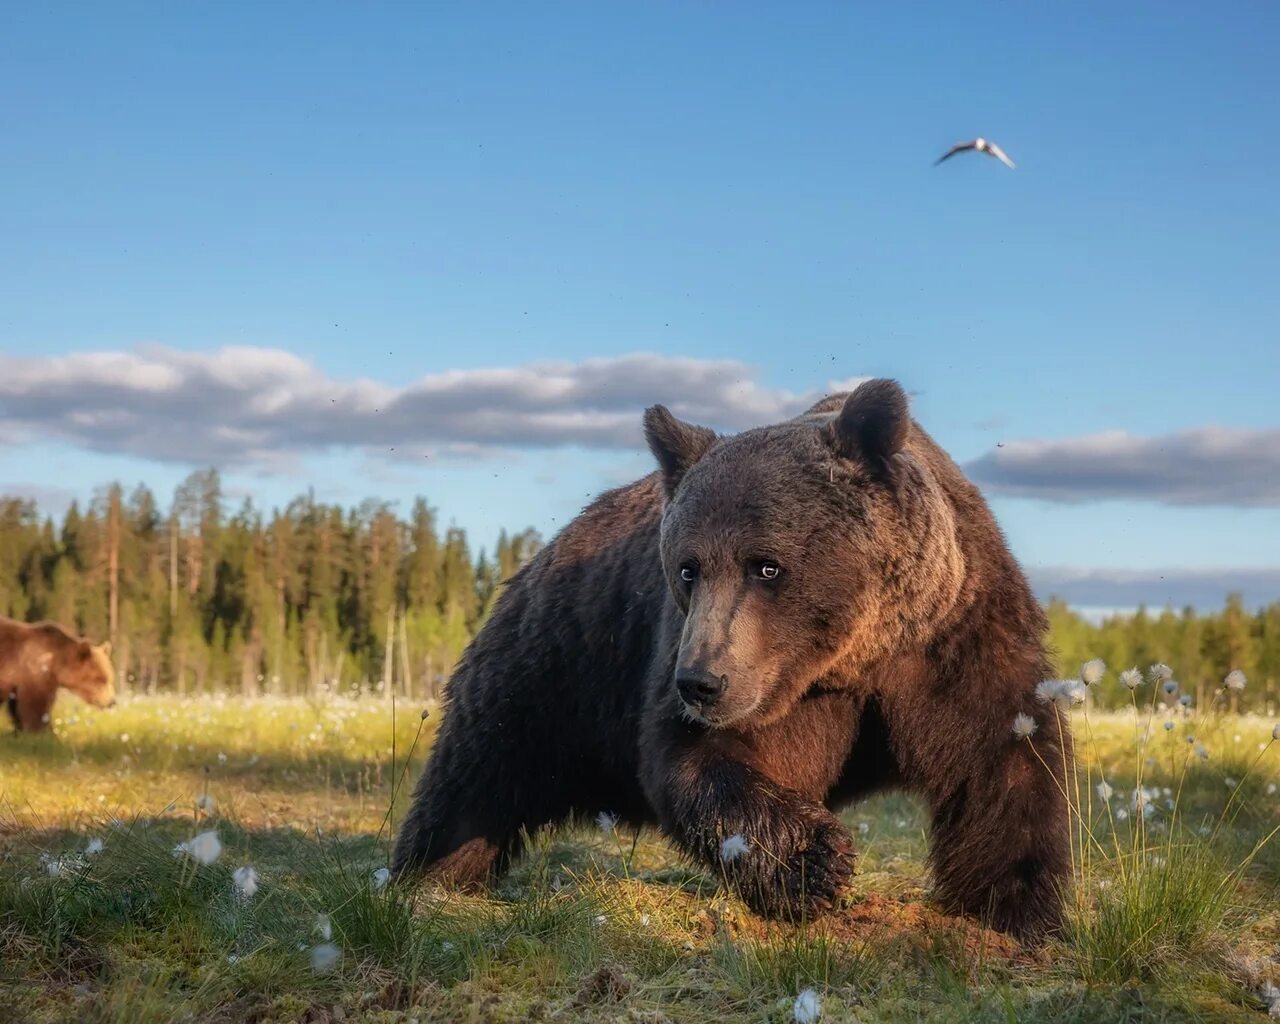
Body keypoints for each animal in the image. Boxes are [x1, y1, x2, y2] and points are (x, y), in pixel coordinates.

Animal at [394, 378, 1075, 942]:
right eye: (687, 567)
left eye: (766, 565)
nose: (699, 683)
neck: (854, 658)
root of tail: (547, 549)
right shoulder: (741, 676)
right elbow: (702, 762)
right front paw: (815, 862)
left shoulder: (954, 638)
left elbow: (1003, 763)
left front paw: (1018, 913)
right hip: (555, 667)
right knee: (475, 777)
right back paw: (426, 879)